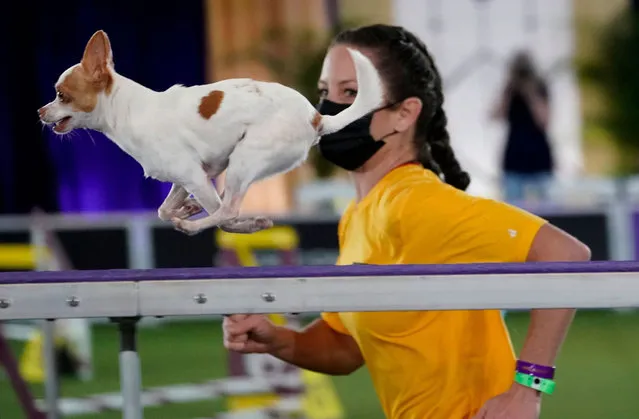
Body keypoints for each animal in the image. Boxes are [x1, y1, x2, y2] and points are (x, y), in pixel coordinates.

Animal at [38, 32, 384, 236]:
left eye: (61, 95)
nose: (40, 112)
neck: (128, 111)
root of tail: (316, 117)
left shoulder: (196, 176)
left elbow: (218, 213)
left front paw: (201, 216)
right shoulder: (193, 175)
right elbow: (163, 209)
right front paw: (187, 207)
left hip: (245, 160)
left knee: (228, 210)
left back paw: (203, 225)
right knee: (224, 209)